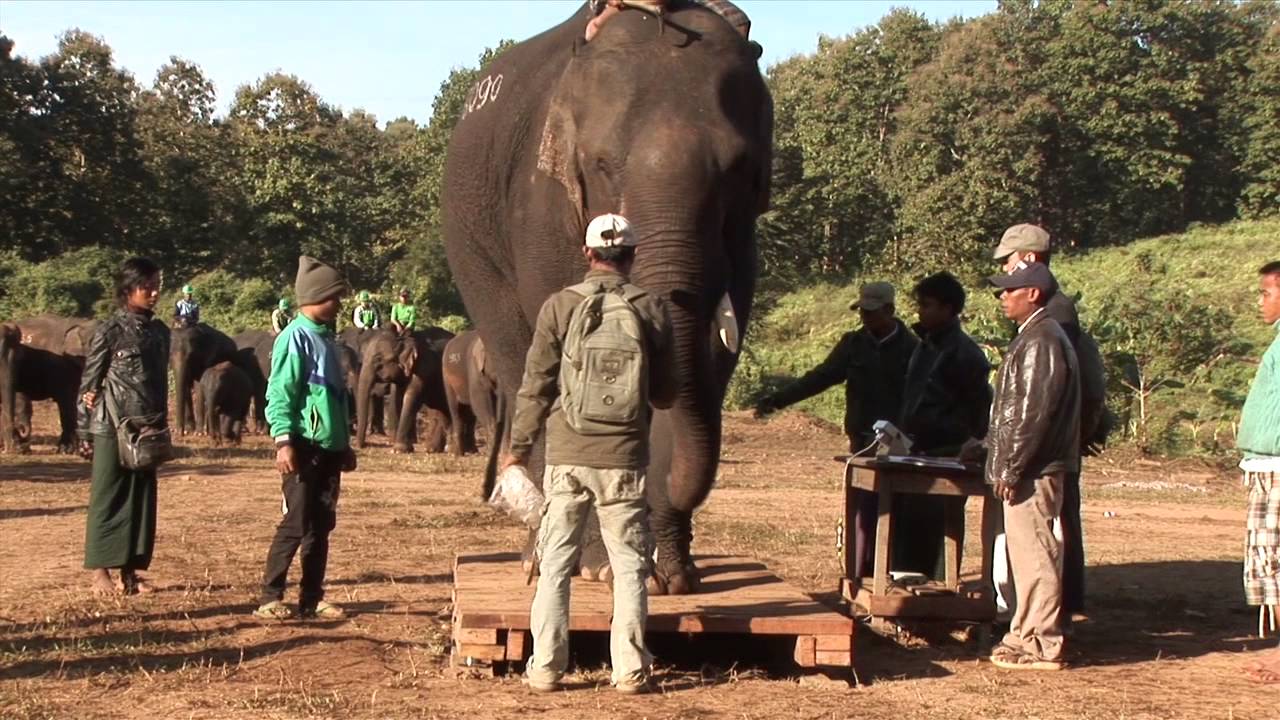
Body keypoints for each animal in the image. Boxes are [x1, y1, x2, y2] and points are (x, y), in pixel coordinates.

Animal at [441, 3, 771, 594]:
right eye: (600, 165)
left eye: (738, 170)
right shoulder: (541, 206)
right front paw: (600, 568)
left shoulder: (743, 238)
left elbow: (715, 353)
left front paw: (669, 575)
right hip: (471, 247)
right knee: (518, 354)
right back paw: (542, 556)